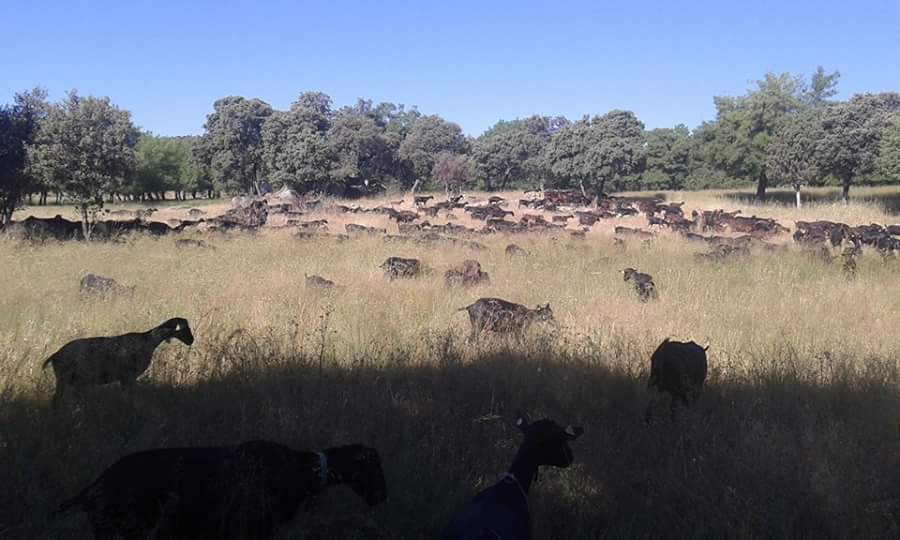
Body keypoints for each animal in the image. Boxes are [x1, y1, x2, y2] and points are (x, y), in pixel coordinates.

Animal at [42, 318, 194, 409]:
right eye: (184, 329)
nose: (191, 340)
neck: (148, 341)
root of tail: (55, 355)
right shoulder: (128, 377)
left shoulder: (125, 379)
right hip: (64, 379)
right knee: (56, 401)